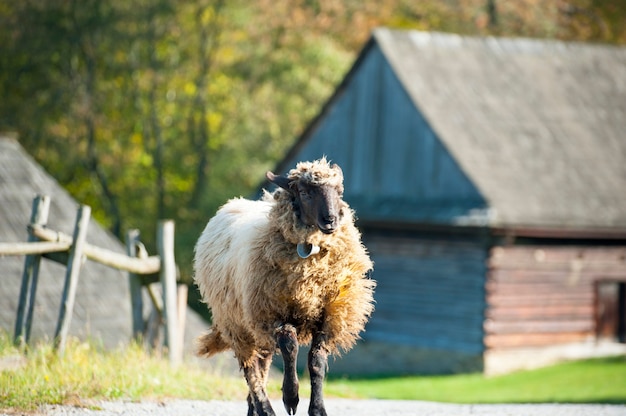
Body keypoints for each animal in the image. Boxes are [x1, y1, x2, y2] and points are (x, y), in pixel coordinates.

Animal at [193, 158, 372, 416]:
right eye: (305, 193)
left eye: (339, 192)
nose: (331, 220)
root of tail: (230, 205)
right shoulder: (272, 312)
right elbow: (290, 348)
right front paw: (291, 396)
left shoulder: (330, 314)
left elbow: (316, 362)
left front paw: (318, 409)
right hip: (237, 323)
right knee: (251, 370)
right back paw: (265, 409)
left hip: (255, 327)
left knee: (262, 364)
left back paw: (255, 410)